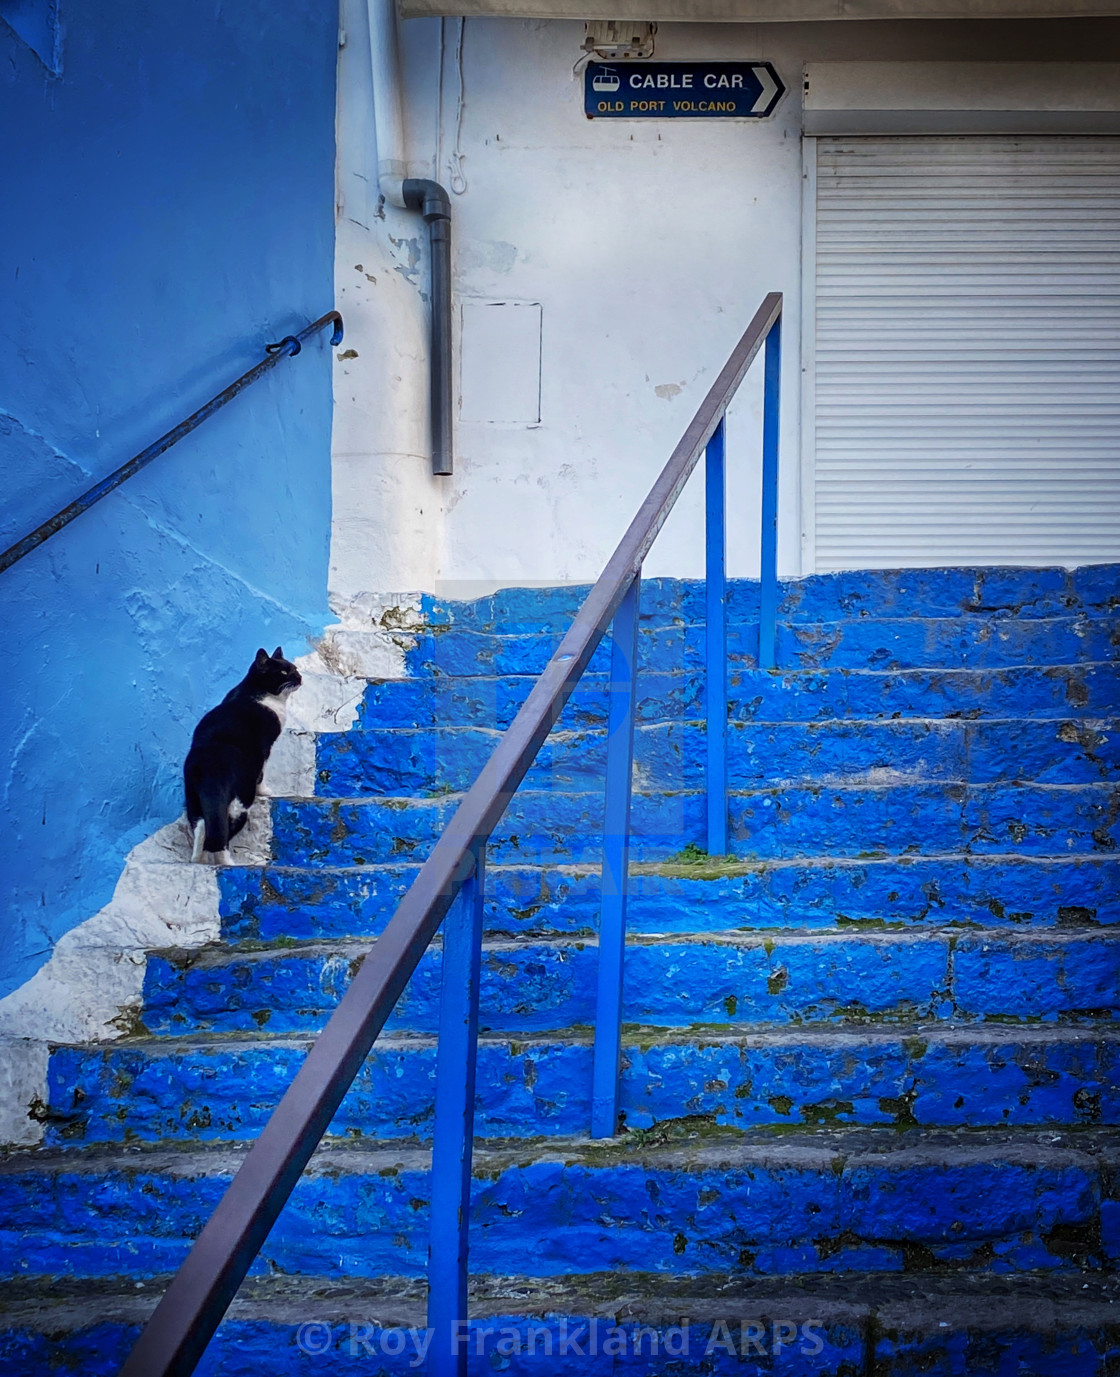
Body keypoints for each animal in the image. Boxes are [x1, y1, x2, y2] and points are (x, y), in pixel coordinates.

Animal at [185, 644, 303, 859]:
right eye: (284, 672)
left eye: (295, 668)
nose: (300, 676)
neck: (253, 691)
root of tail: (206, 763)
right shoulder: (265, 747)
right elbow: (262, 773)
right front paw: (265, 792)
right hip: (239, 802)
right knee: (221, 834)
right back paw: (226, 862)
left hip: (193, 799)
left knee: (201, 827)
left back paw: (197, 861)